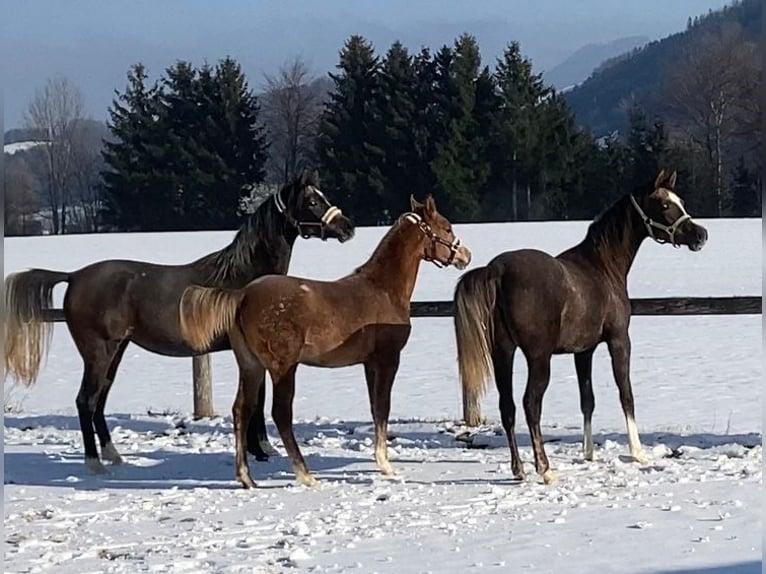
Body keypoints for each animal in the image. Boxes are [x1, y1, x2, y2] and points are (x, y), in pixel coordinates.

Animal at [2, 172, 356, 476]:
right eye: (313, 201)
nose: (348, 228)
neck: (246, 279)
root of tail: (74, 276)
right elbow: (256, 400)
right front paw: (262, 449)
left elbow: (256, 397)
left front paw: (260, 449)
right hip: (99, 352)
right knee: (84, 401)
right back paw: (95, 464)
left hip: (115, 352)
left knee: (99, 400)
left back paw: (114, 456)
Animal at [178, 196, 474, 488]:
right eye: (447, 228)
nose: (465, 255)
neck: (383, 290)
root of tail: (242, 296)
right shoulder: (388, 359)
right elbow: (383, 407)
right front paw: (387, 466)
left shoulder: (369, 363)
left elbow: (375, 408)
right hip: (283, 368)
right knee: (280, 413)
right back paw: (305, 475)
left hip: (251, 366)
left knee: (242, 409)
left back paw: (246, 477)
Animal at [452, 170, 712, 486]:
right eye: (664, 204)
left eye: (680, 200)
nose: (700, 235)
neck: (602, 267)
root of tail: (496, 271)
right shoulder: (619, 341)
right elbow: (626, 393)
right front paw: (638, 452)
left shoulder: (583, 351)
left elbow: (587, 399)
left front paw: (588, 454)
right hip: (538, 359)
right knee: (530, 405)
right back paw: (545, 469)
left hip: (503, 353)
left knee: (508, 407)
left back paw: (519, 470)